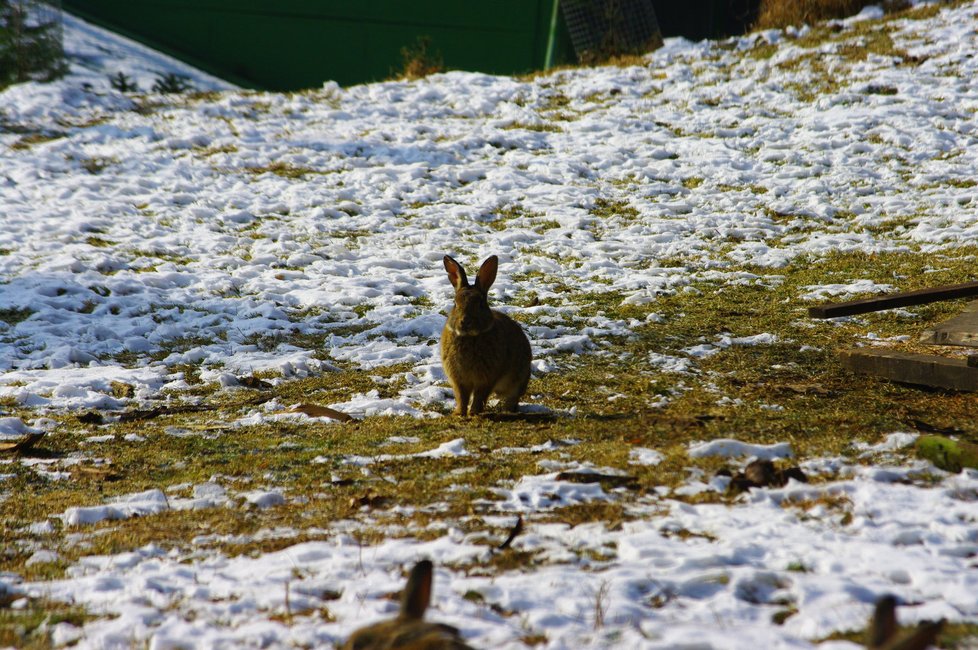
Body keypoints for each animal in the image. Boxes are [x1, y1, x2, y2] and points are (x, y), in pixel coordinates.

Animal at [440, 253, 528, 416]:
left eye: (480, 304)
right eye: (455, 303)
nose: (465, 321)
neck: (469, 336)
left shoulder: (487, 378)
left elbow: (479, 395)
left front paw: (474, 412)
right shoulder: (458, 379)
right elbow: (461, 396)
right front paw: (459, 413)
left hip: (518, 380)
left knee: (512, 398)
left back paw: (507, 410)